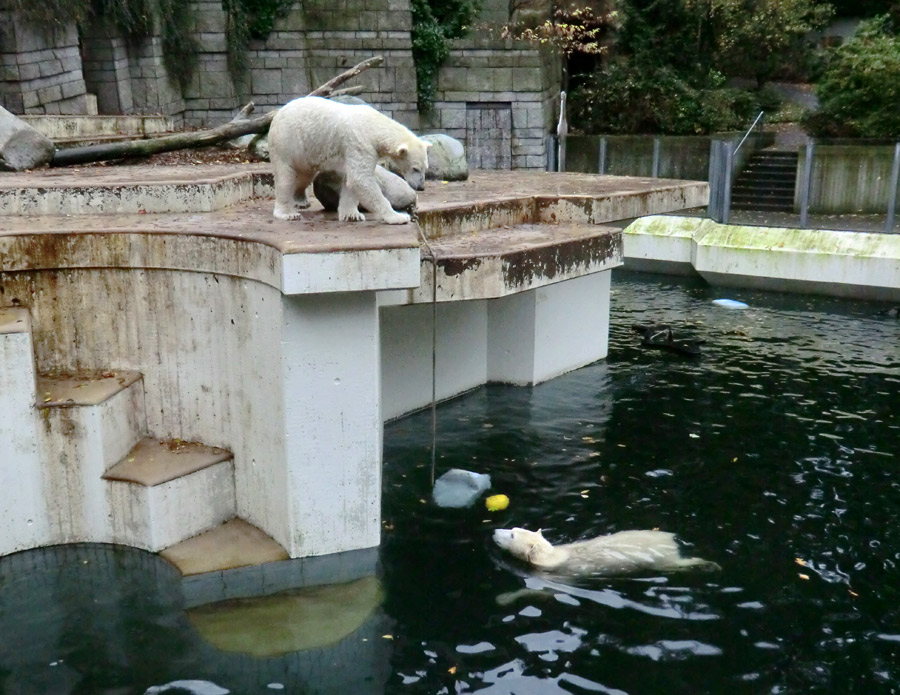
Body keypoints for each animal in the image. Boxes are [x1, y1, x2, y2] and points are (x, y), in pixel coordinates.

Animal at [268, 95, 428, 224]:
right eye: (415, 168)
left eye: (425, 168)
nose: (421, 187)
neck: (372, 125)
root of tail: (278, 114)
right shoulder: (360, 143)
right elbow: (361, 179)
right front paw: (399, 217)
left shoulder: (352, 151)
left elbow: (350, 181)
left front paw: (352, 215)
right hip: (287, 142)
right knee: (286, 177)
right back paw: (288, 213)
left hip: (305, 152)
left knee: (304, 176)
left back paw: (300, 200)